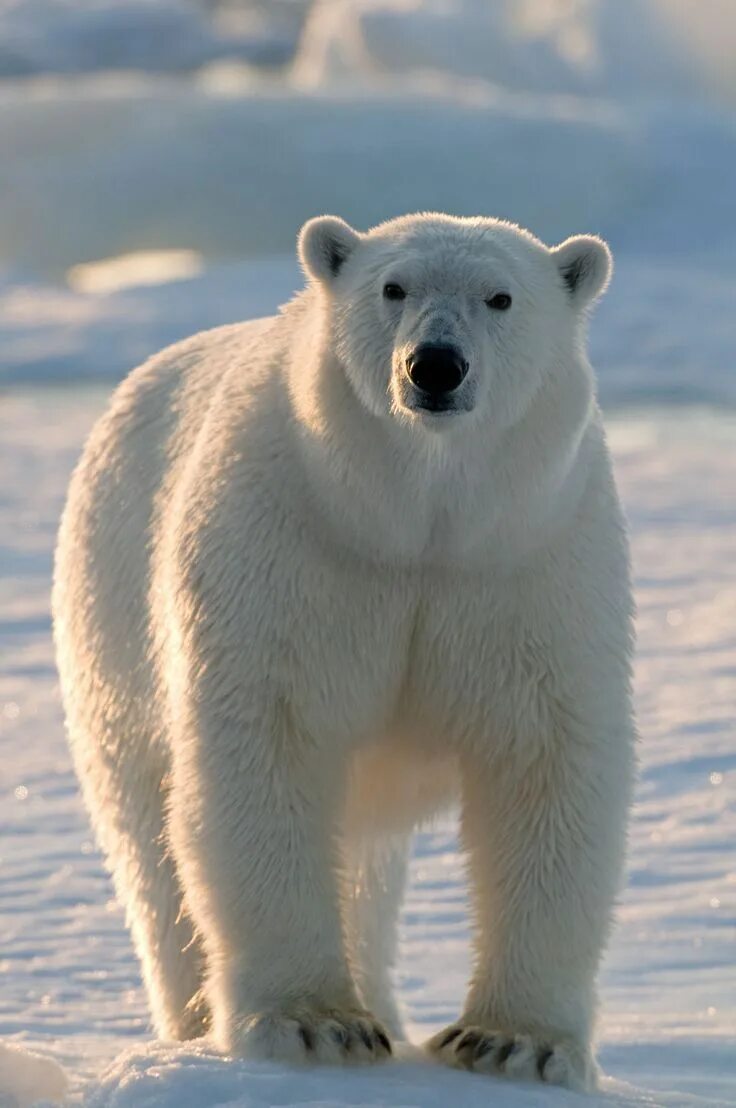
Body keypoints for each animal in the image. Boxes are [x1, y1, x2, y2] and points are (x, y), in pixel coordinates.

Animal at [54, 209, 634, 1090]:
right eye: (392, 287)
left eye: (500, 297)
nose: (435, 365)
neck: (416, 523)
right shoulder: (292, 552)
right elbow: (269, 748)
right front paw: (311, 1025)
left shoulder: (530, 565)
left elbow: (545, 764)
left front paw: (516, 1044)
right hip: (107, 616)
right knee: (148, 837)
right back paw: (196, 1022)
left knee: (363, 858)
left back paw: (385, 1010)